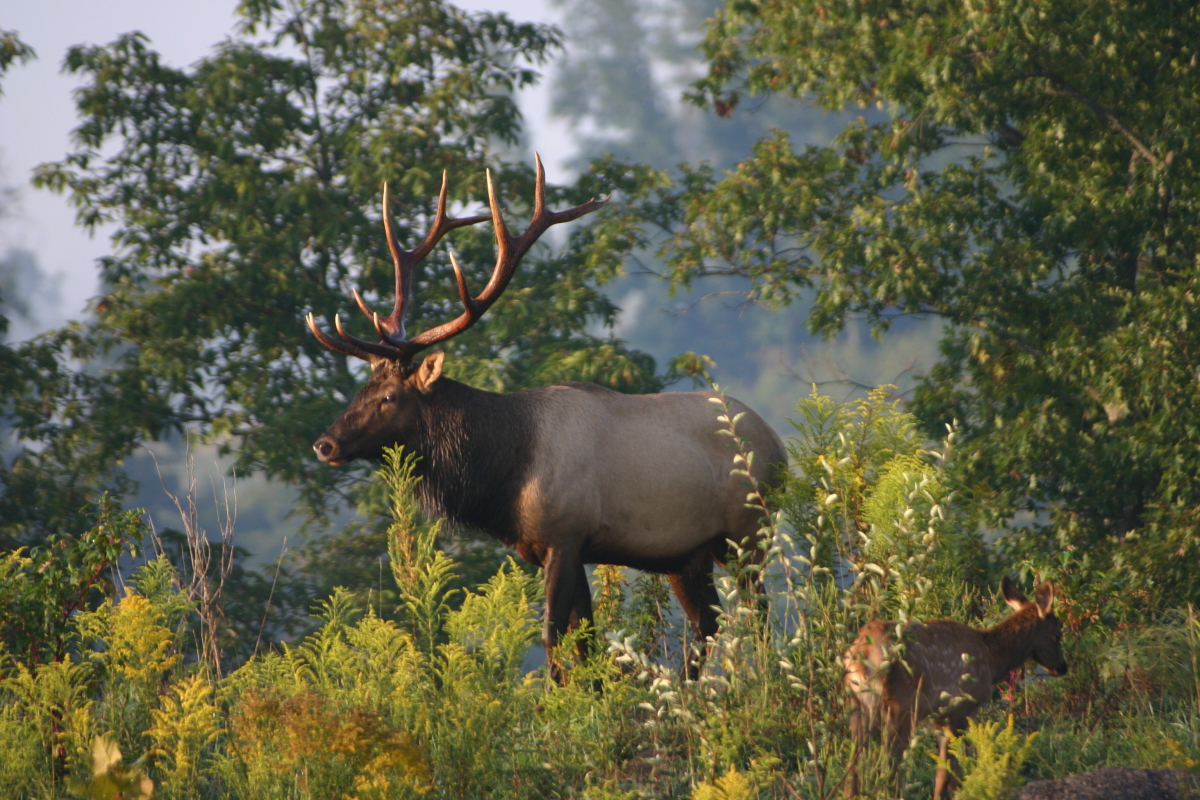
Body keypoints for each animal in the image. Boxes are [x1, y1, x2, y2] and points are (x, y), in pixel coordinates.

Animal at [307, 158, 787, 681]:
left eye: (389, 396)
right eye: (361, 389)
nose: (325, 444)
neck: (504, 474)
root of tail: (780, 445)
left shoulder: (566, 532)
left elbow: (554, 638)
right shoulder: (545, 548)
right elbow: (587, 641)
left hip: (749, 529)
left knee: (760, 615)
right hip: (689, 554)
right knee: (708, 624)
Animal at [844, 578, 1070, 796]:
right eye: (1058, 634)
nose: (1062, 667)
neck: (992, 660)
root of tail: (863, 652)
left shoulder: (938, 718)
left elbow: (945, 773)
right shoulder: (960, 708)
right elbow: (949, 773)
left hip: (858, 704)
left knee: (854, 764)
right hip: (902, 703)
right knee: (889, 762)